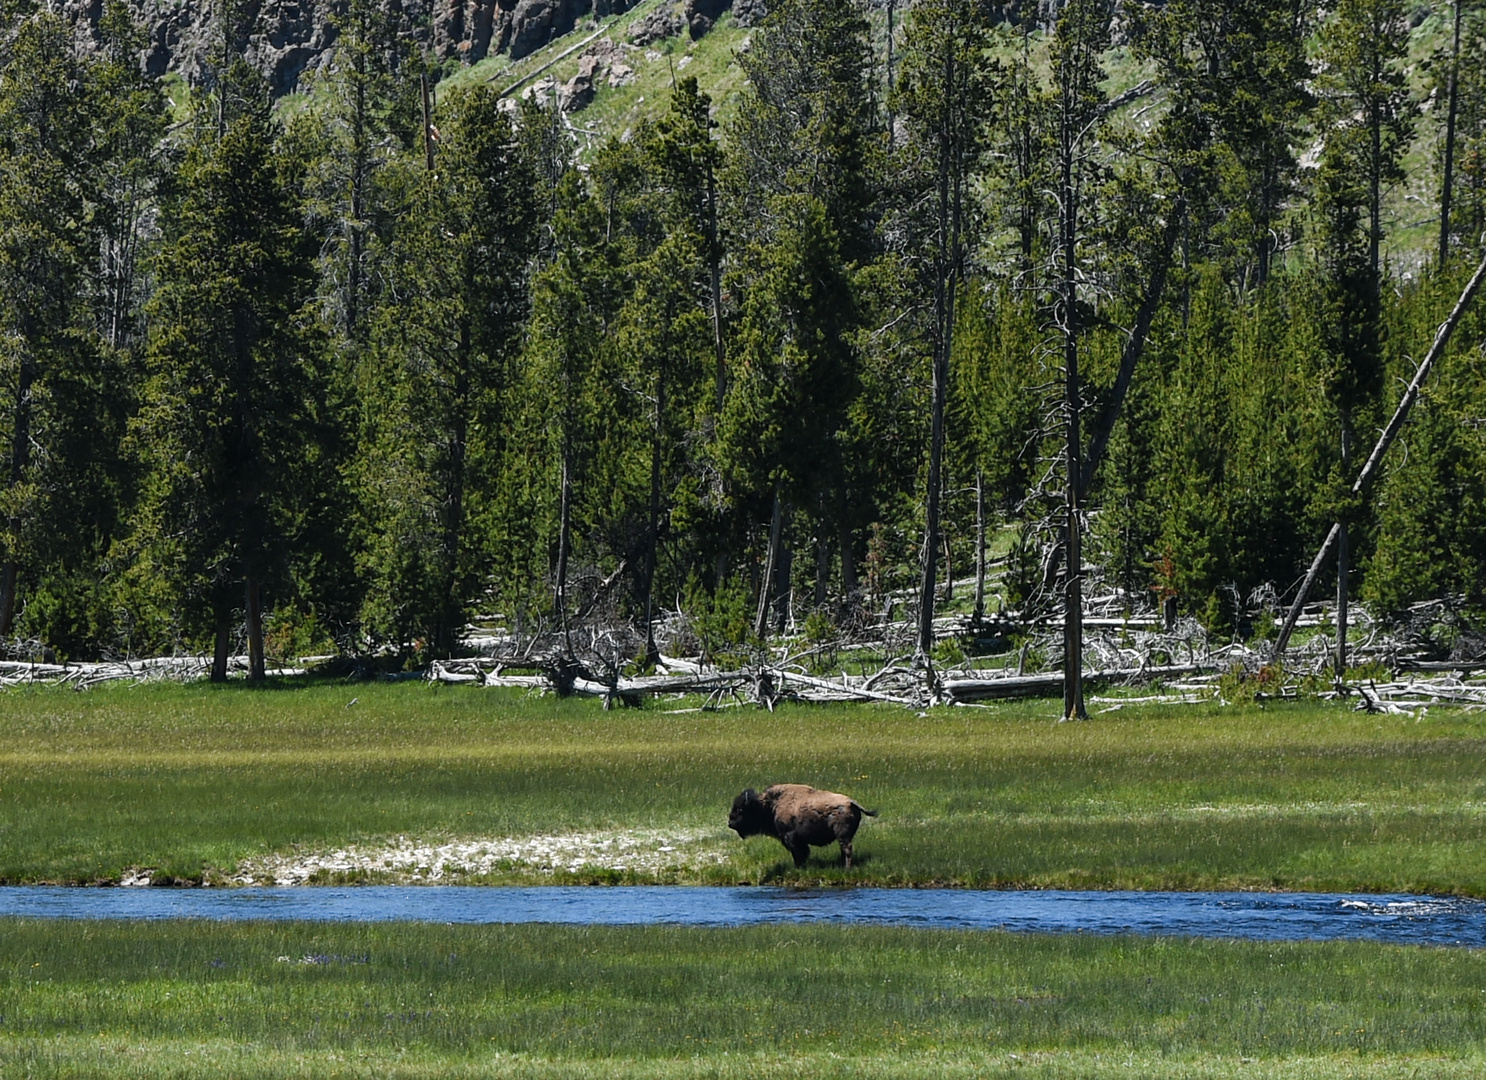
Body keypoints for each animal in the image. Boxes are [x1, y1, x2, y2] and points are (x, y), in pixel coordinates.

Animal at [725, 784, 873, 867]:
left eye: (740, 809)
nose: (730, 823)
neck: (770, 805)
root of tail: (851, 802)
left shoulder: (790, 837)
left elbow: (798, 853)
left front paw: (798, 867)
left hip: (842, 835)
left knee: (847, 849)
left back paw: (846, 867)